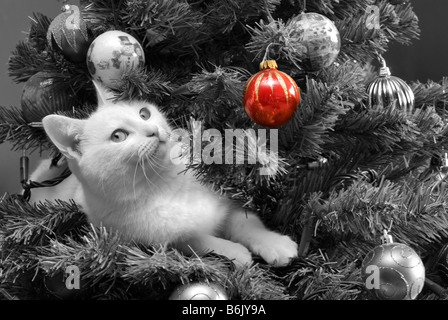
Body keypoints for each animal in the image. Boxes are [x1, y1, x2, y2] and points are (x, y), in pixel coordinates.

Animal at [30, 83, 298, 268]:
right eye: (118, 136)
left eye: (144, 114)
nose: (152, 130)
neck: (165, 182)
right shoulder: (156, 238)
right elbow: (196, 241)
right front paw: (234, 252)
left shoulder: (225, 198)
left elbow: (246, 222)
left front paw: (273, 243)